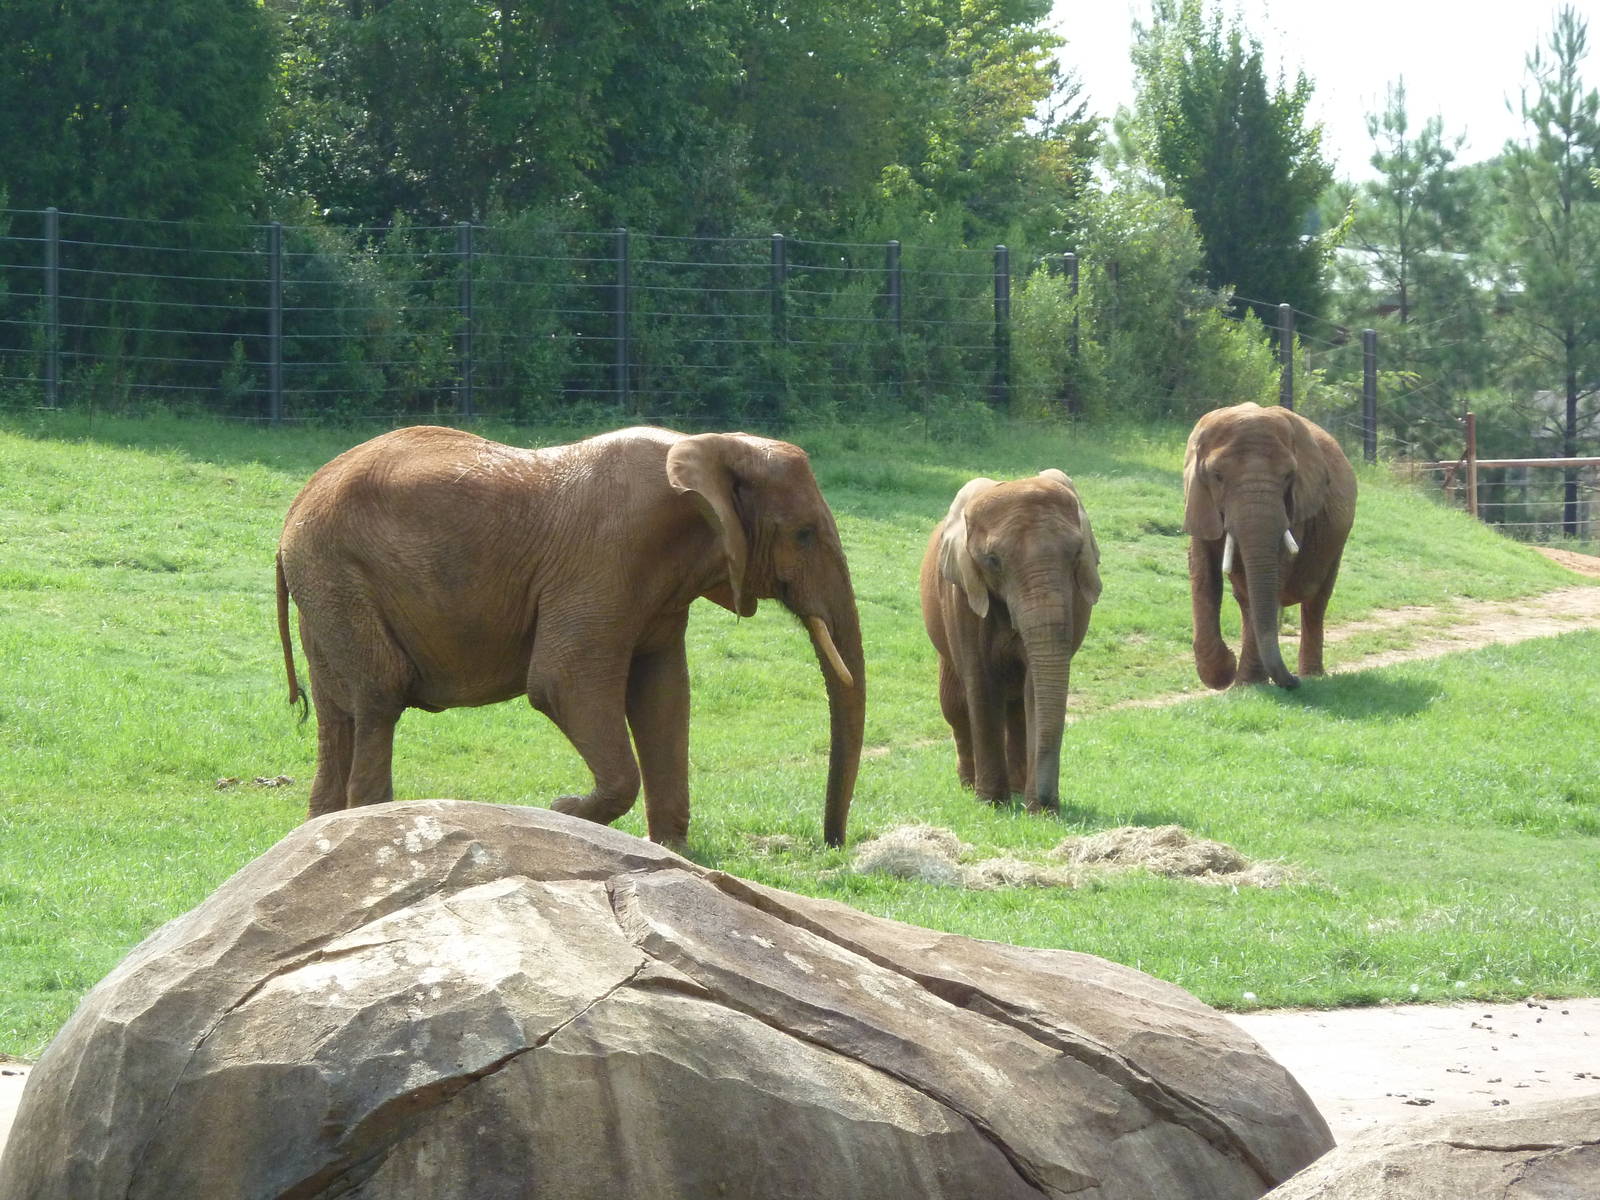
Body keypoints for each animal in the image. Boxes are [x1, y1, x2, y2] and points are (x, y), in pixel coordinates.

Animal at [275, 425, 865, 847]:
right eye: (804, 535)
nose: (832, 843)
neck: (709, 448)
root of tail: (293, 513)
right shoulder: (607, 557)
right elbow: (562, 683)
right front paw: (561, 812)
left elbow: (663, 696)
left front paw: (671, 851)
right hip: (338, 575)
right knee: (379, 697)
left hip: (325, 588)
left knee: (338, 713)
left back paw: (318, 832)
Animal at [919, 471, 1100, 813]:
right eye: (992, 560)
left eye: (1075, 554)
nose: (1047, 804)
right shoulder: (961, 595)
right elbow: (981, 683)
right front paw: (991, 803)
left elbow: (1035, 689)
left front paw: (1035, 809)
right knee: (954, 704)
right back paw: (969, 786)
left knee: (1016, 709)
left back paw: (1016, 789)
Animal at [1183, 402, 1357, 690]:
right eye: (1217, 476)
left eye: (1288, 476)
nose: (1293, 681)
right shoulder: (1199, 501)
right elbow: (1203, 573)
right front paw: (1226, 676)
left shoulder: (1295, 507)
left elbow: (1276, 571)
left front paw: (1247, 684)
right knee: (1246, 598)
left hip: (1337, 541)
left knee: (1317, 601)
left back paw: (1311, 675)